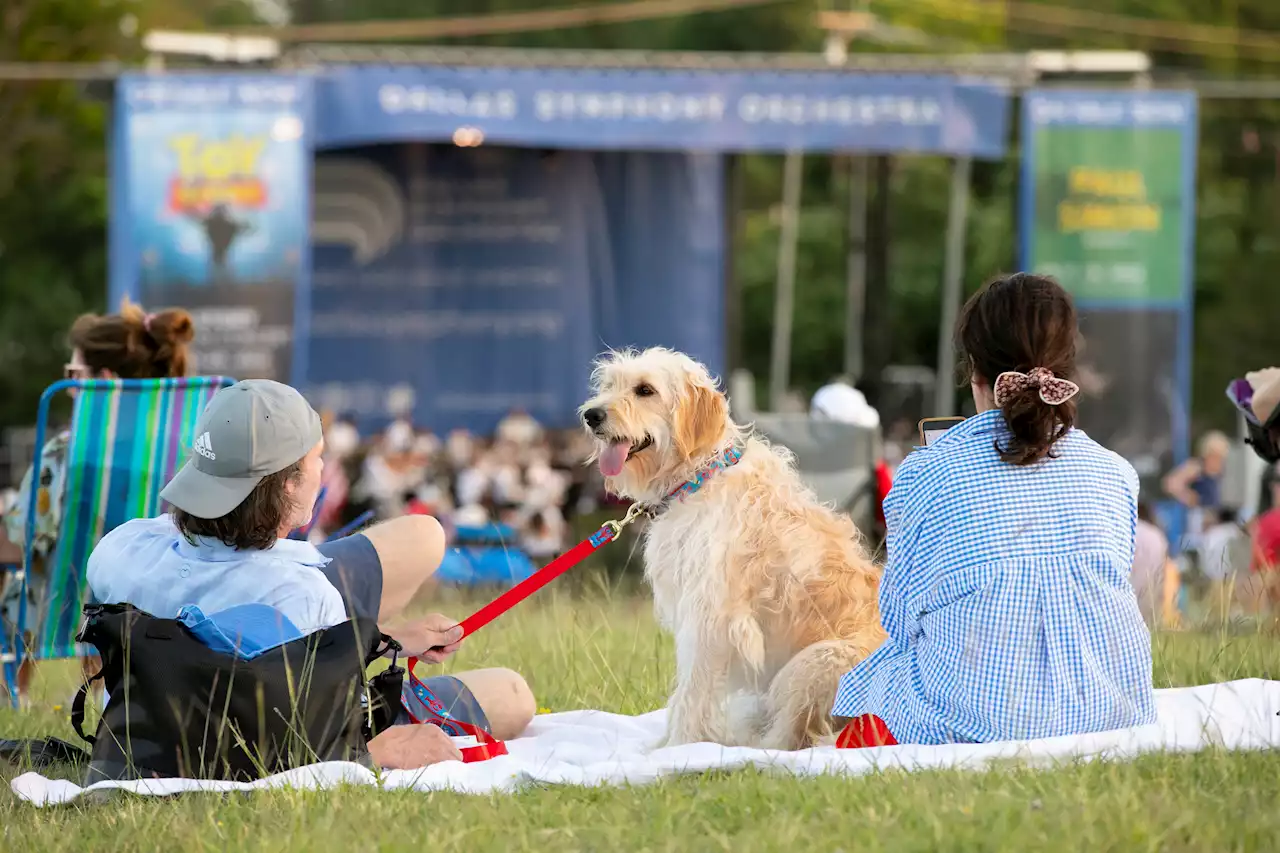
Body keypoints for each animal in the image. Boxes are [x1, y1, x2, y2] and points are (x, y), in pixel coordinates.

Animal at [586, 345, 885, 742]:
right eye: (609, 385)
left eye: (645, 390)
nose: (590, 415)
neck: (700, 477)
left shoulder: (709, 617)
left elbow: (690, 693)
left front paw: (677, 747)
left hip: (814, 664)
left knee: (792, 737)